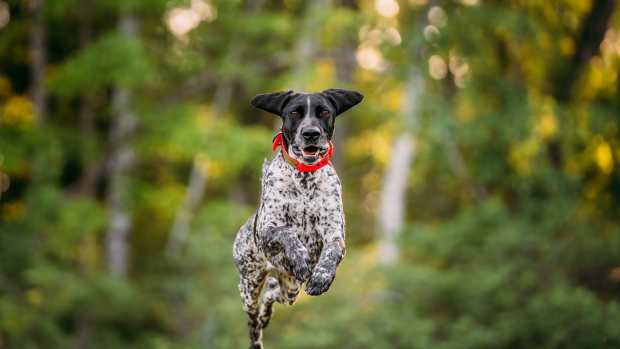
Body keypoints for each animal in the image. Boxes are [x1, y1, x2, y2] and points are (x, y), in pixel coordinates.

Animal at [235, 89, 366, 348]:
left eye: (324, 112)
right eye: (294, 113)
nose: (311, 133)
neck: (304, 176)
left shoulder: (335, 234)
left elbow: (331, 252)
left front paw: (321, 277)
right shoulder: (267, 229)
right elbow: (288, 233)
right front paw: (301, 258)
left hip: (290, 288)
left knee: (271, 294)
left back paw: (268, 313)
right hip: (250, 286)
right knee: (254, 322)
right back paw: (257, 334)